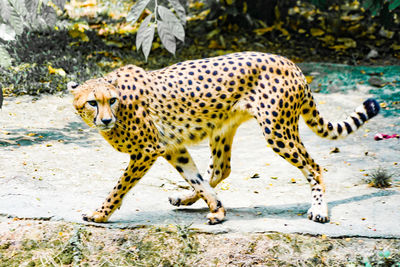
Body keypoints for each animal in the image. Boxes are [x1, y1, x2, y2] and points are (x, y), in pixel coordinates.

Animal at [69, 51, 382, 225]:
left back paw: (319, 210)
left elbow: (119, 188)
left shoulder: (147, 150)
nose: (106, 120)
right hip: (222, 128)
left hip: (277, 130)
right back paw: (187, 198)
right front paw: (218, 210)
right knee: (220, 169)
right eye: (92, 103)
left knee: (314, 167)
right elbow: (195, 176)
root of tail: (290, 63)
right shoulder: (172, 147)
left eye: (111, 100)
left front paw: (99, 214)